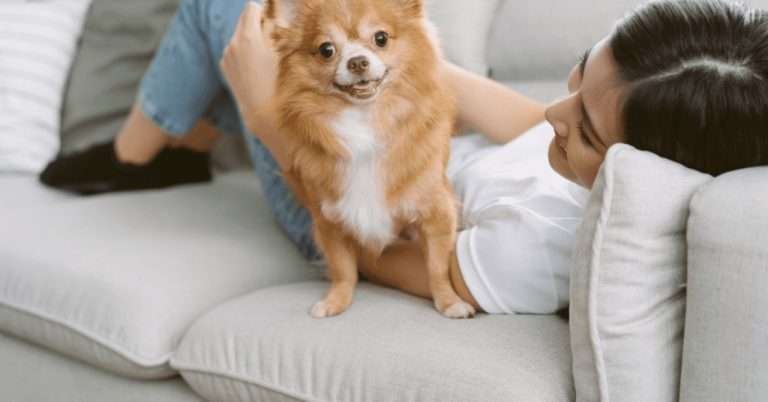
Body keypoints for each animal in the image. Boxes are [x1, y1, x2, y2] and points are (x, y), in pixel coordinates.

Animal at [260, 0, 472, 320]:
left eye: (380, 38)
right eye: (326, 49)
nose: (357, 61)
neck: (363, 120)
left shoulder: (437, 215)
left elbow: (436, 268)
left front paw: (449, 302)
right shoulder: (328, 223)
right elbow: (343, 269)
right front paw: (336, 301)